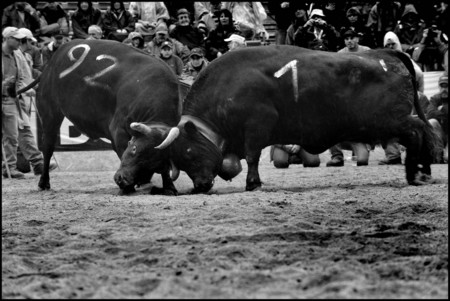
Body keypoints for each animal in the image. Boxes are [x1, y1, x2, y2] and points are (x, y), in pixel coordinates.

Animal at [29, 39, 181, 195]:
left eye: (155, 165)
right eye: (134, 149)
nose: (123, 179)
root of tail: (51, 63)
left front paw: (169, 186)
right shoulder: (119, 131)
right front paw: (128, 187)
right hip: (50, 114)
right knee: (48, 147)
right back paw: (43, 182)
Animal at [147, 46, 440, 193]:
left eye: (188, 151)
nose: (200, 186)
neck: (227, 86)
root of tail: (385, 54)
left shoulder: (257, 126)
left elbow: (252, 157)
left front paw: (253, 183)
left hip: (391, 120)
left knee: (418, 132)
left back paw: (416, 174)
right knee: (424, 133)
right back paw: (423, 172)